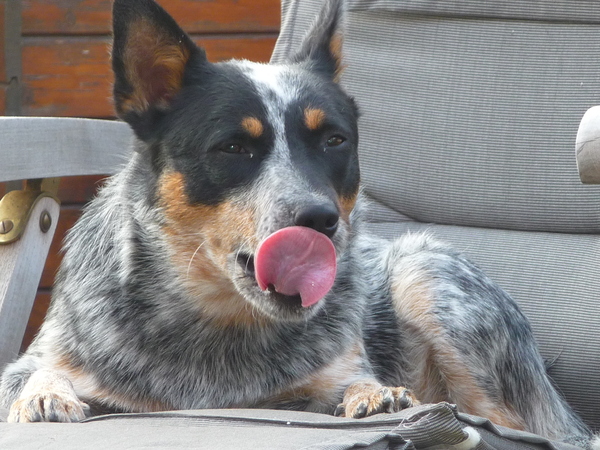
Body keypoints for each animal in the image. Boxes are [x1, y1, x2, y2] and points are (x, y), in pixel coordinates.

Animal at [0, 0, 596, 446]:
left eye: (334, 139)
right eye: (234, 147)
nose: (319, 219)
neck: (216, 327)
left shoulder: (330, 376)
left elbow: (353, 384)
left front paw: (374, 395)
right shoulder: (35, 362)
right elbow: (37, 375)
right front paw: (46, 395)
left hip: (424, 273)